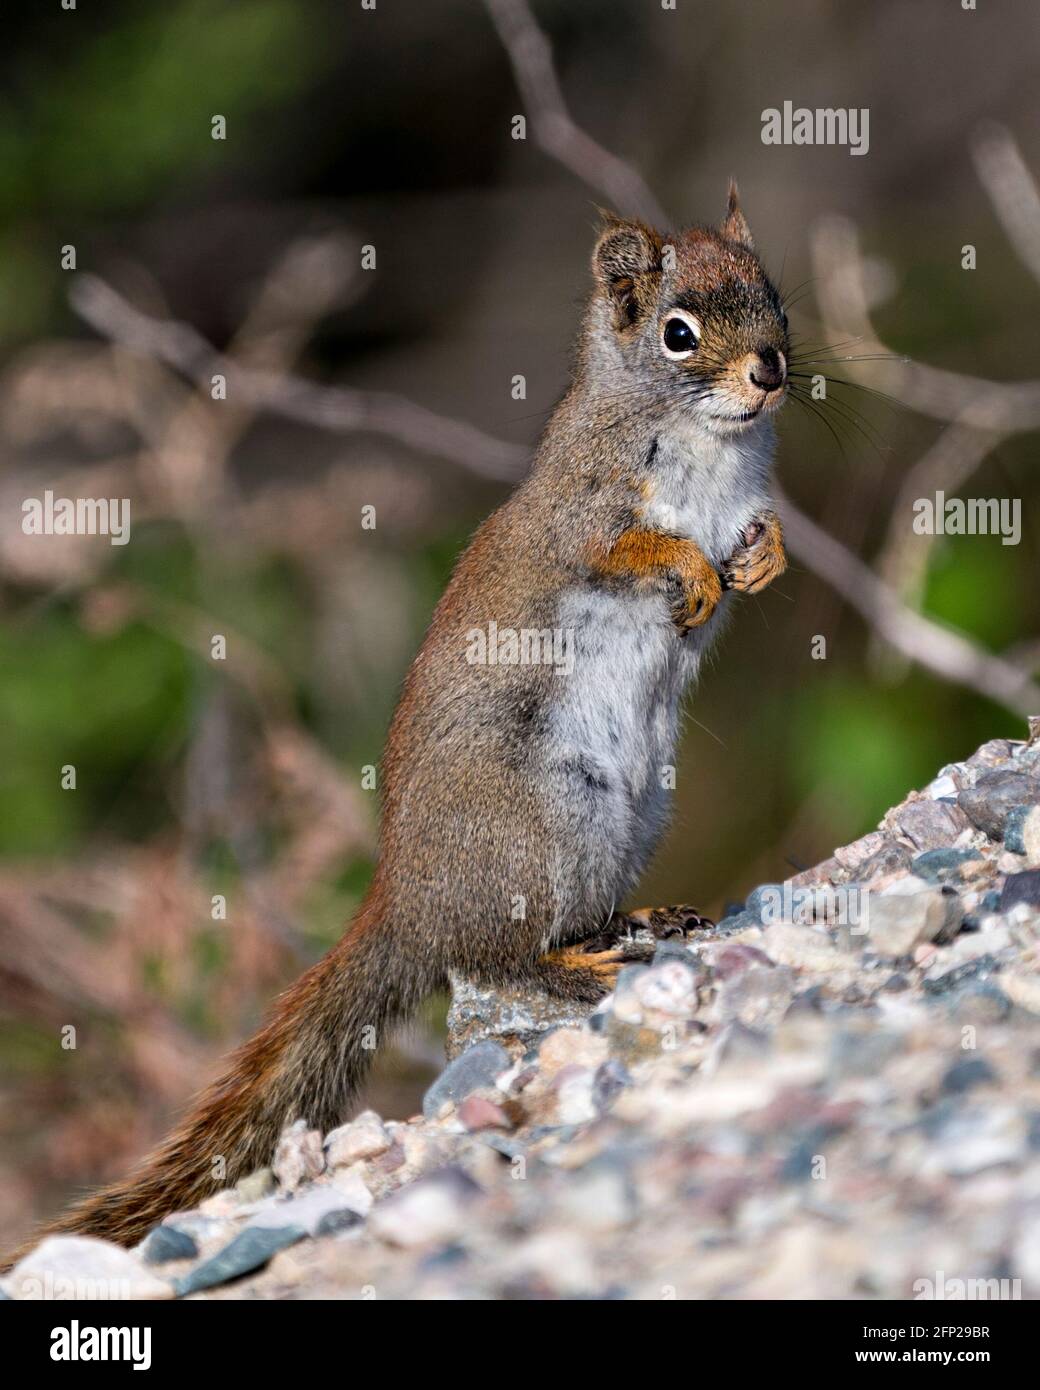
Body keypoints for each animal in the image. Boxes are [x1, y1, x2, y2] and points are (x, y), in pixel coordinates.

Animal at [7, 183, 788, 1260]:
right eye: (677, 333)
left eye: (774, 296)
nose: (771, 370)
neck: (713, 443)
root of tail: (406, 899)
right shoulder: (584, 510)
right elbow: (628, 547)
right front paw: (690, 569)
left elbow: (759, 544)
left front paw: (763, 560)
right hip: (547, 828)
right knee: (498, 955)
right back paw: (581, 962)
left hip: (623, 826)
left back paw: (643, 920)